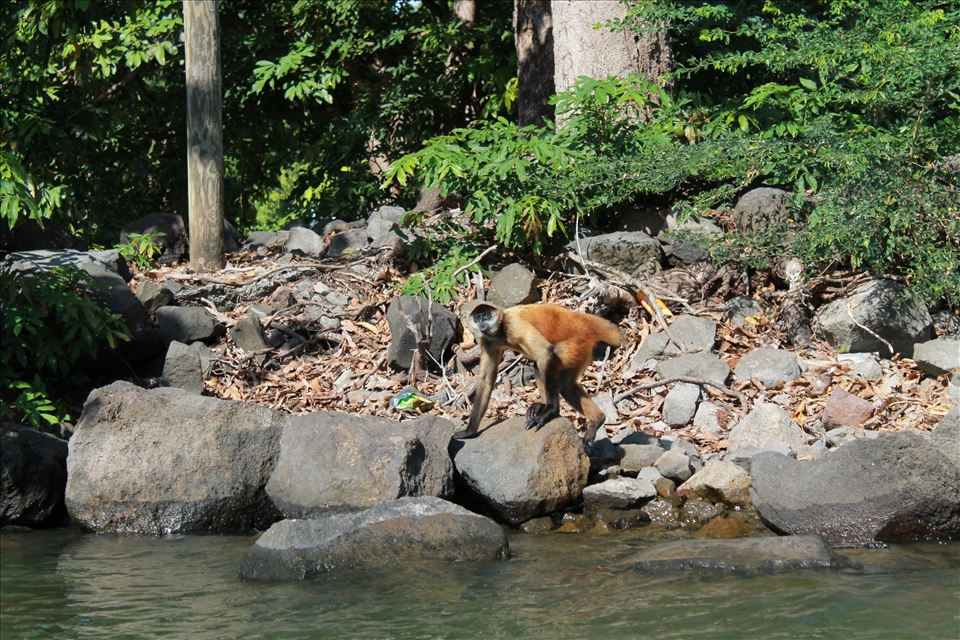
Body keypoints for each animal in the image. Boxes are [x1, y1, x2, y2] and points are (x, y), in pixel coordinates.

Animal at [453, 302, 621, 444]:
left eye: (486, 315)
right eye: (477, 317)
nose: (482, 321)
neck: (500, 329)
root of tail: (580, 320)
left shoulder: (513, 323)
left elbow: (545, 353)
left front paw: (551, 410)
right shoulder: (488, 341)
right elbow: (486, 380)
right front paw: (470, 431)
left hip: (576, 345)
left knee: (543, 363)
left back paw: (553, 411)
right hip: (580, 350)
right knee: (565, 385)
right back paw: (597, 419)